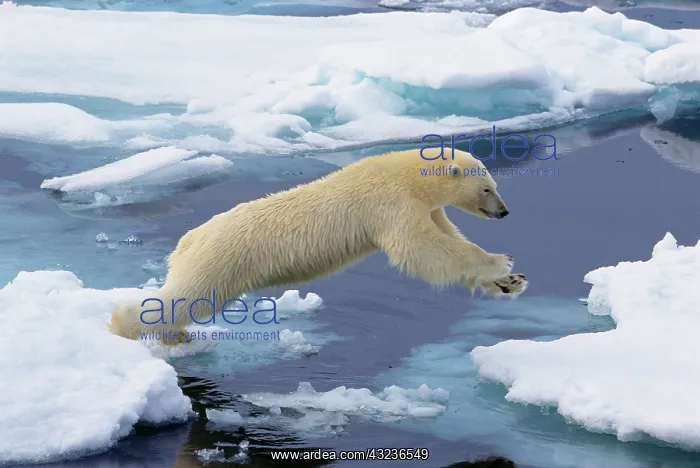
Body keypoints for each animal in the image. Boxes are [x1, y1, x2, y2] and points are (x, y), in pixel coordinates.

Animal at [109, 148, 527, 344]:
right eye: (487, 188)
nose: (505, 211)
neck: (407, 176)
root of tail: (188, 239)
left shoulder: (426, 207)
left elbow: (448, 240)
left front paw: (510, 282)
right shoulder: (391, 203)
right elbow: (422, 250)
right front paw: (502, 261)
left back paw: (175, 334)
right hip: (221, 259)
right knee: (187, 296)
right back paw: (125, 327)